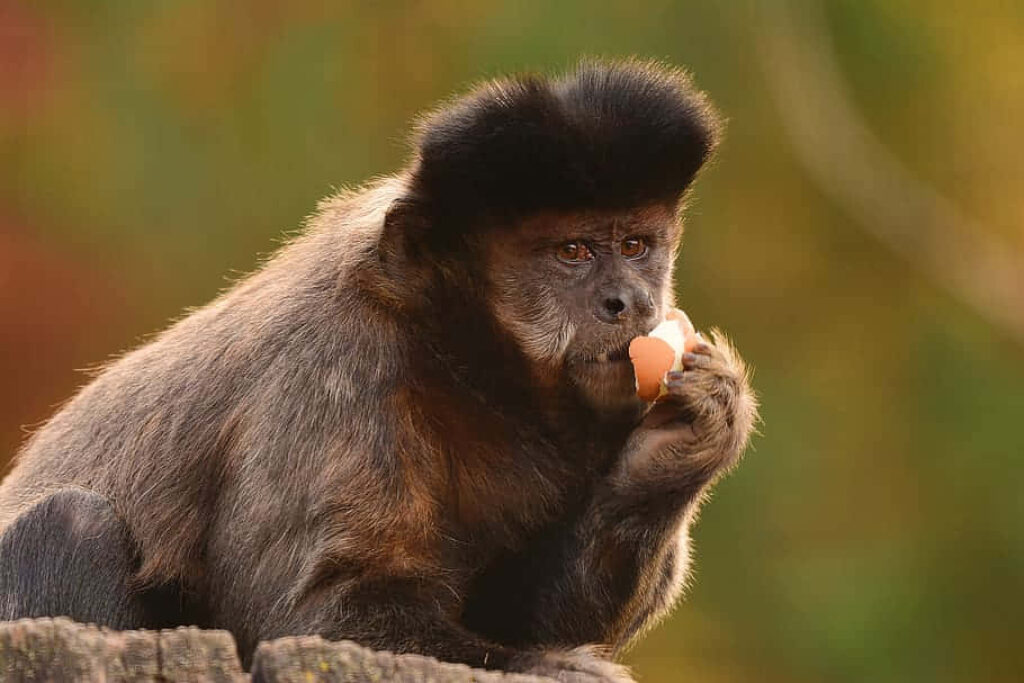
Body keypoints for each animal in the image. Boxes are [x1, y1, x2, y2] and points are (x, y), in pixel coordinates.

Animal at [0, 59, 757, 681]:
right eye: (573, 252)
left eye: (635, 246)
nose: (629, 301)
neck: (461, 363)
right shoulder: (332, 365)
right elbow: (305, 616)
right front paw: (547, 668)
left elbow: (521, 610)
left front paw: (682, 448)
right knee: (71, 523)